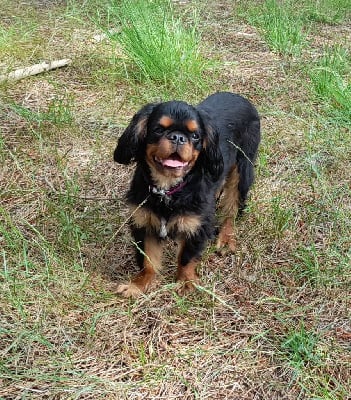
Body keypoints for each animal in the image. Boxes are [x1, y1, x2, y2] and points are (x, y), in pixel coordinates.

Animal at [114, 91, 260, 296]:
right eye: (158, 129)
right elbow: (147, 258)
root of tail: (238, 96)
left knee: (232, 207)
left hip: (243, 169)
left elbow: (187, 257)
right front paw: (138, 285)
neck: (168, 188)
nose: (178, 137)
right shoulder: (144, 221)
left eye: (195, 135)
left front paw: (185, 282)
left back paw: (226, 237)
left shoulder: (196, 225)